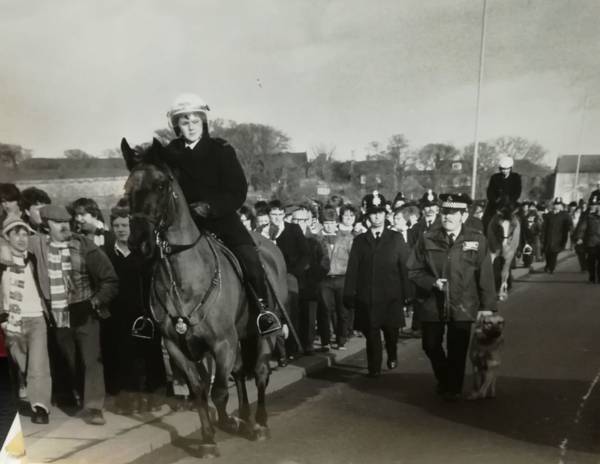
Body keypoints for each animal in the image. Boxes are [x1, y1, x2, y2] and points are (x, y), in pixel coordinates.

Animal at [121, 137, 284, 456]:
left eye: (161, 185)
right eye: (127, 188)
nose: (139, 242)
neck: (183, 277)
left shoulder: (222, 342)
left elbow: (219, 391)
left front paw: (226, 423)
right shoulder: (176, 346)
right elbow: (200, 390)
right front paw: (209, 437)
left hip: (263, 334)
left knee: (259, 372)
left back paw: (259, 423)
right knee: (239, 373)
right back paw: (245, 417)